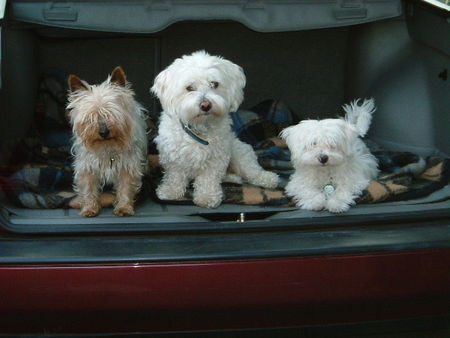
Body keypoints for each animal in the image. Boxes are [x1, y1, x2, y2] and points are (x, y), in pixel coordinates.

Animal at [151, 50, 278, 209]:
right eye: (189, 88)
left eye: (214, 84)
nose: (206, 105)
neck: (200, 127)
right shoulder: (173, 157)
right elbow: (175, 175)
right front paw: (170, 191)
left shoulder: (216, 159)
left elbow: (208, 179)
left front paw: (207, 197)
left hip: (239, 153)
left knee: (252, 171)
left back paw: (267, 178)